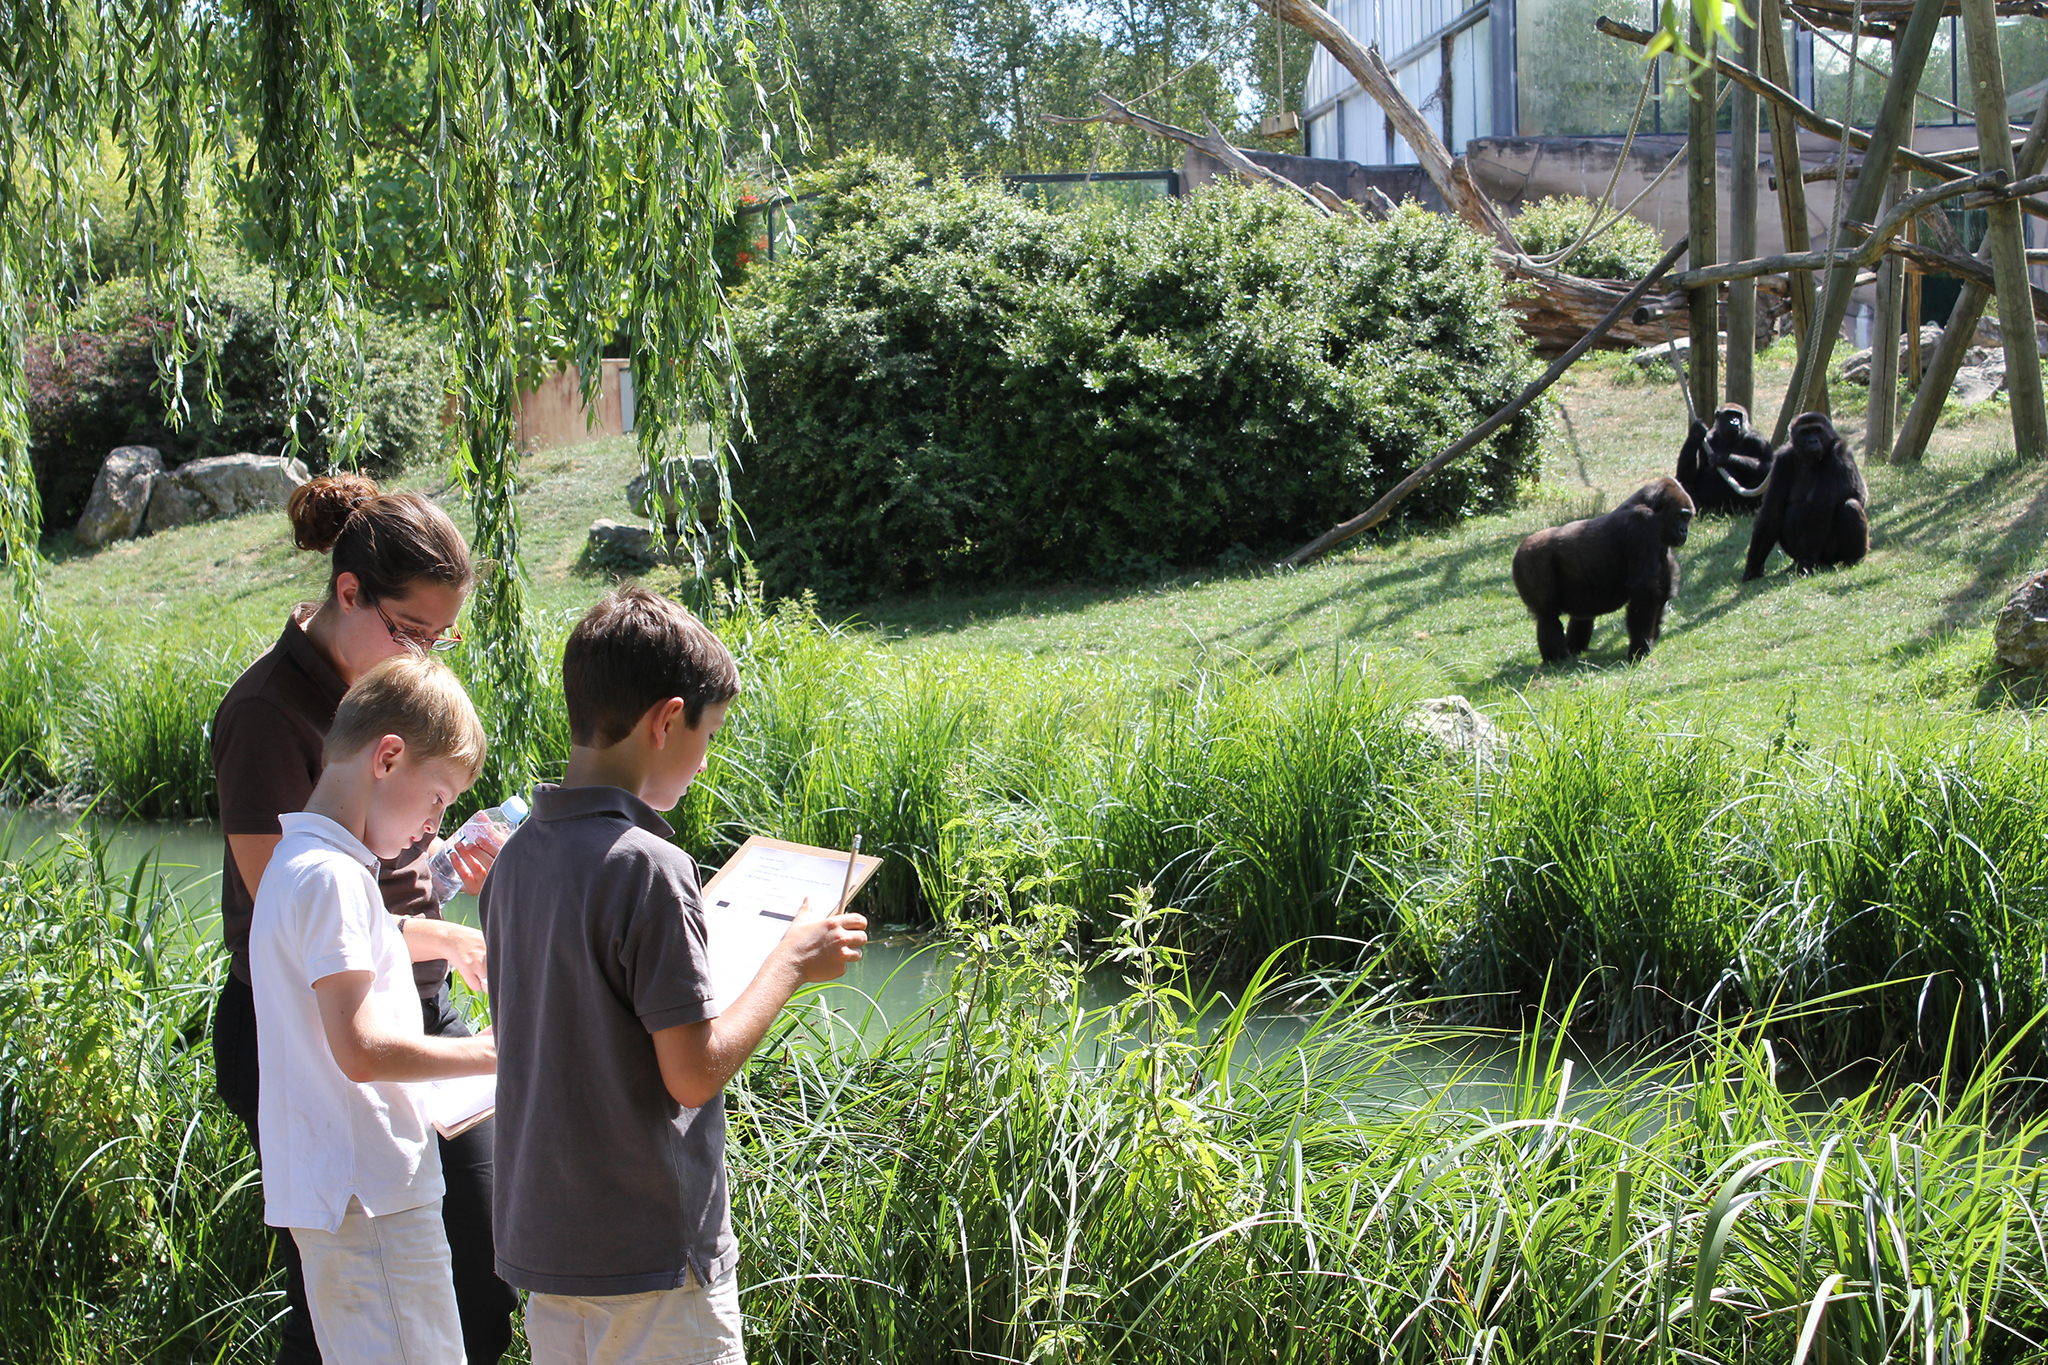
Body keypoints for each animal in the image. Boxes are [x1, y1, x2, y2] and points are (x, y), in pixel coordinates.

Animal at [1744, 405, 1875, 577]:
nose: (1812, 441)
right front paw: (1753, 567)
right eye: (1805, 433)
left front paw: (1807, 561)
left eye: (1816, 430)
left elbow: (1823, 506)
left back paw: (1852, 558)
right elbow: (1771, 511)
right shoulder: (1782, 459)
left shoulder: (1839, 451)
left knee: (1850, 506)